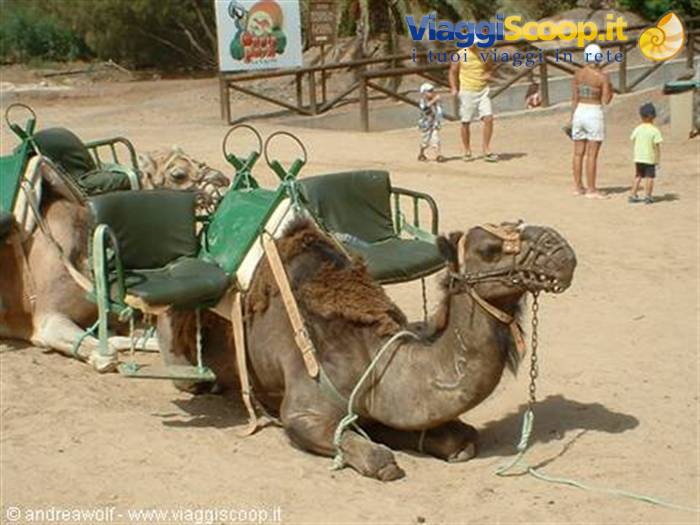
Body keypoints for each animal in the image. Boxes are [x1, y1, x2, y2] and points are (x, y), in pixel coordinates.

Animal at [158, 218, 576, 480]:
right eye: (490, 249)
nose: (559, 246)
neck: (372, 358)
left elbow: (458, 438)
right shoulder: (302, 410)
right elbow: (377, 457)